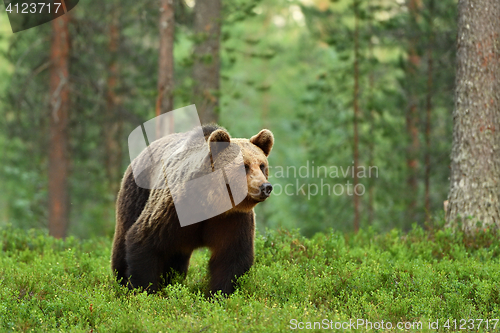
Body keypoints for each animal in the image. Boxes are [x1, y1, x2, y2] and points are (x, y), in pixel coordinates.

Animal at [110, 124, 274, 294]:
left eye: (262, 166)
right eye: (244, 166)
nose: (265, 187)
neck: (212, 202)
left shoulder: (233, 219)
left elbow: (231, 259)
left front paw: (219, 293)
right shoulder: (175, 210)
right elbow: (144, 241)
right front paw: (143, 290)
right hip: (136, 193)